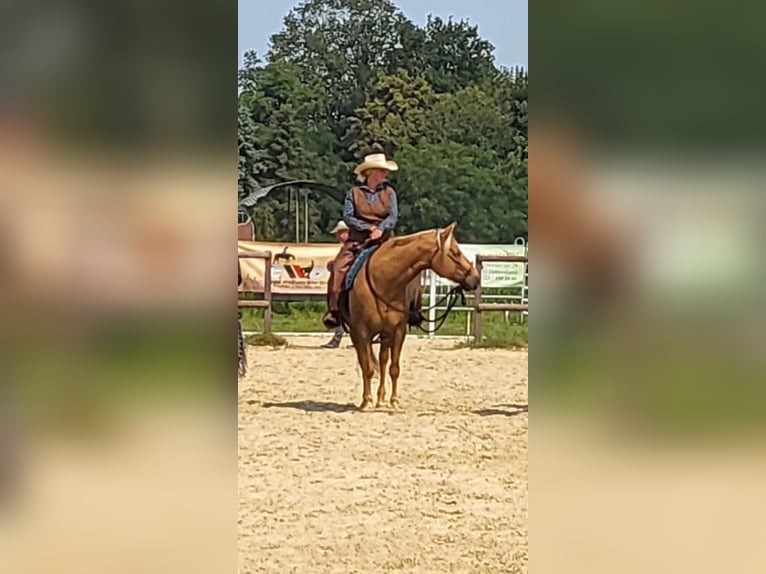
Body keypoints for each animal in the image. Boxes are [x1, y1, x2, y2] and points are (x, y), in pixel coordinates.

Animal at [339, 223, 480, 410]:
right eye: (456, 253)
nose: (475, 278)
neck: (383, 281)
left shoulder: (397, 331)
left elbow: (393, 368)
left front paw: (394, 401)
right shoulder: (361, 332)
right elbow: (367, 367)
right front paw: (366, 401)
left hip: (385, 335)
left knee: (383, 361)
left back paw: (381, 398)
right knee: (368, 362)